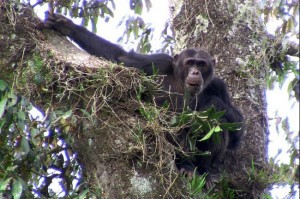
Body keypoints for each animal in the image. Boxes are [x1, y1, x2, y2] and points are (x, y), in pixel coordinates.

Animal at [44, 12, 245, 187]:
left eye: (201, 64)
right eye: (190, 63)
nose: (195, 72)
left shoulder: (218, 86)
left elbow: (237, 130)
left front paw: (214, 105)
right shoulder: (157, 63)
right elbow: (122, 58)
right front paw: (66, 26)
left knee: (216, 124)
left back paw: (204, 171)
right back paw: (186, 167)